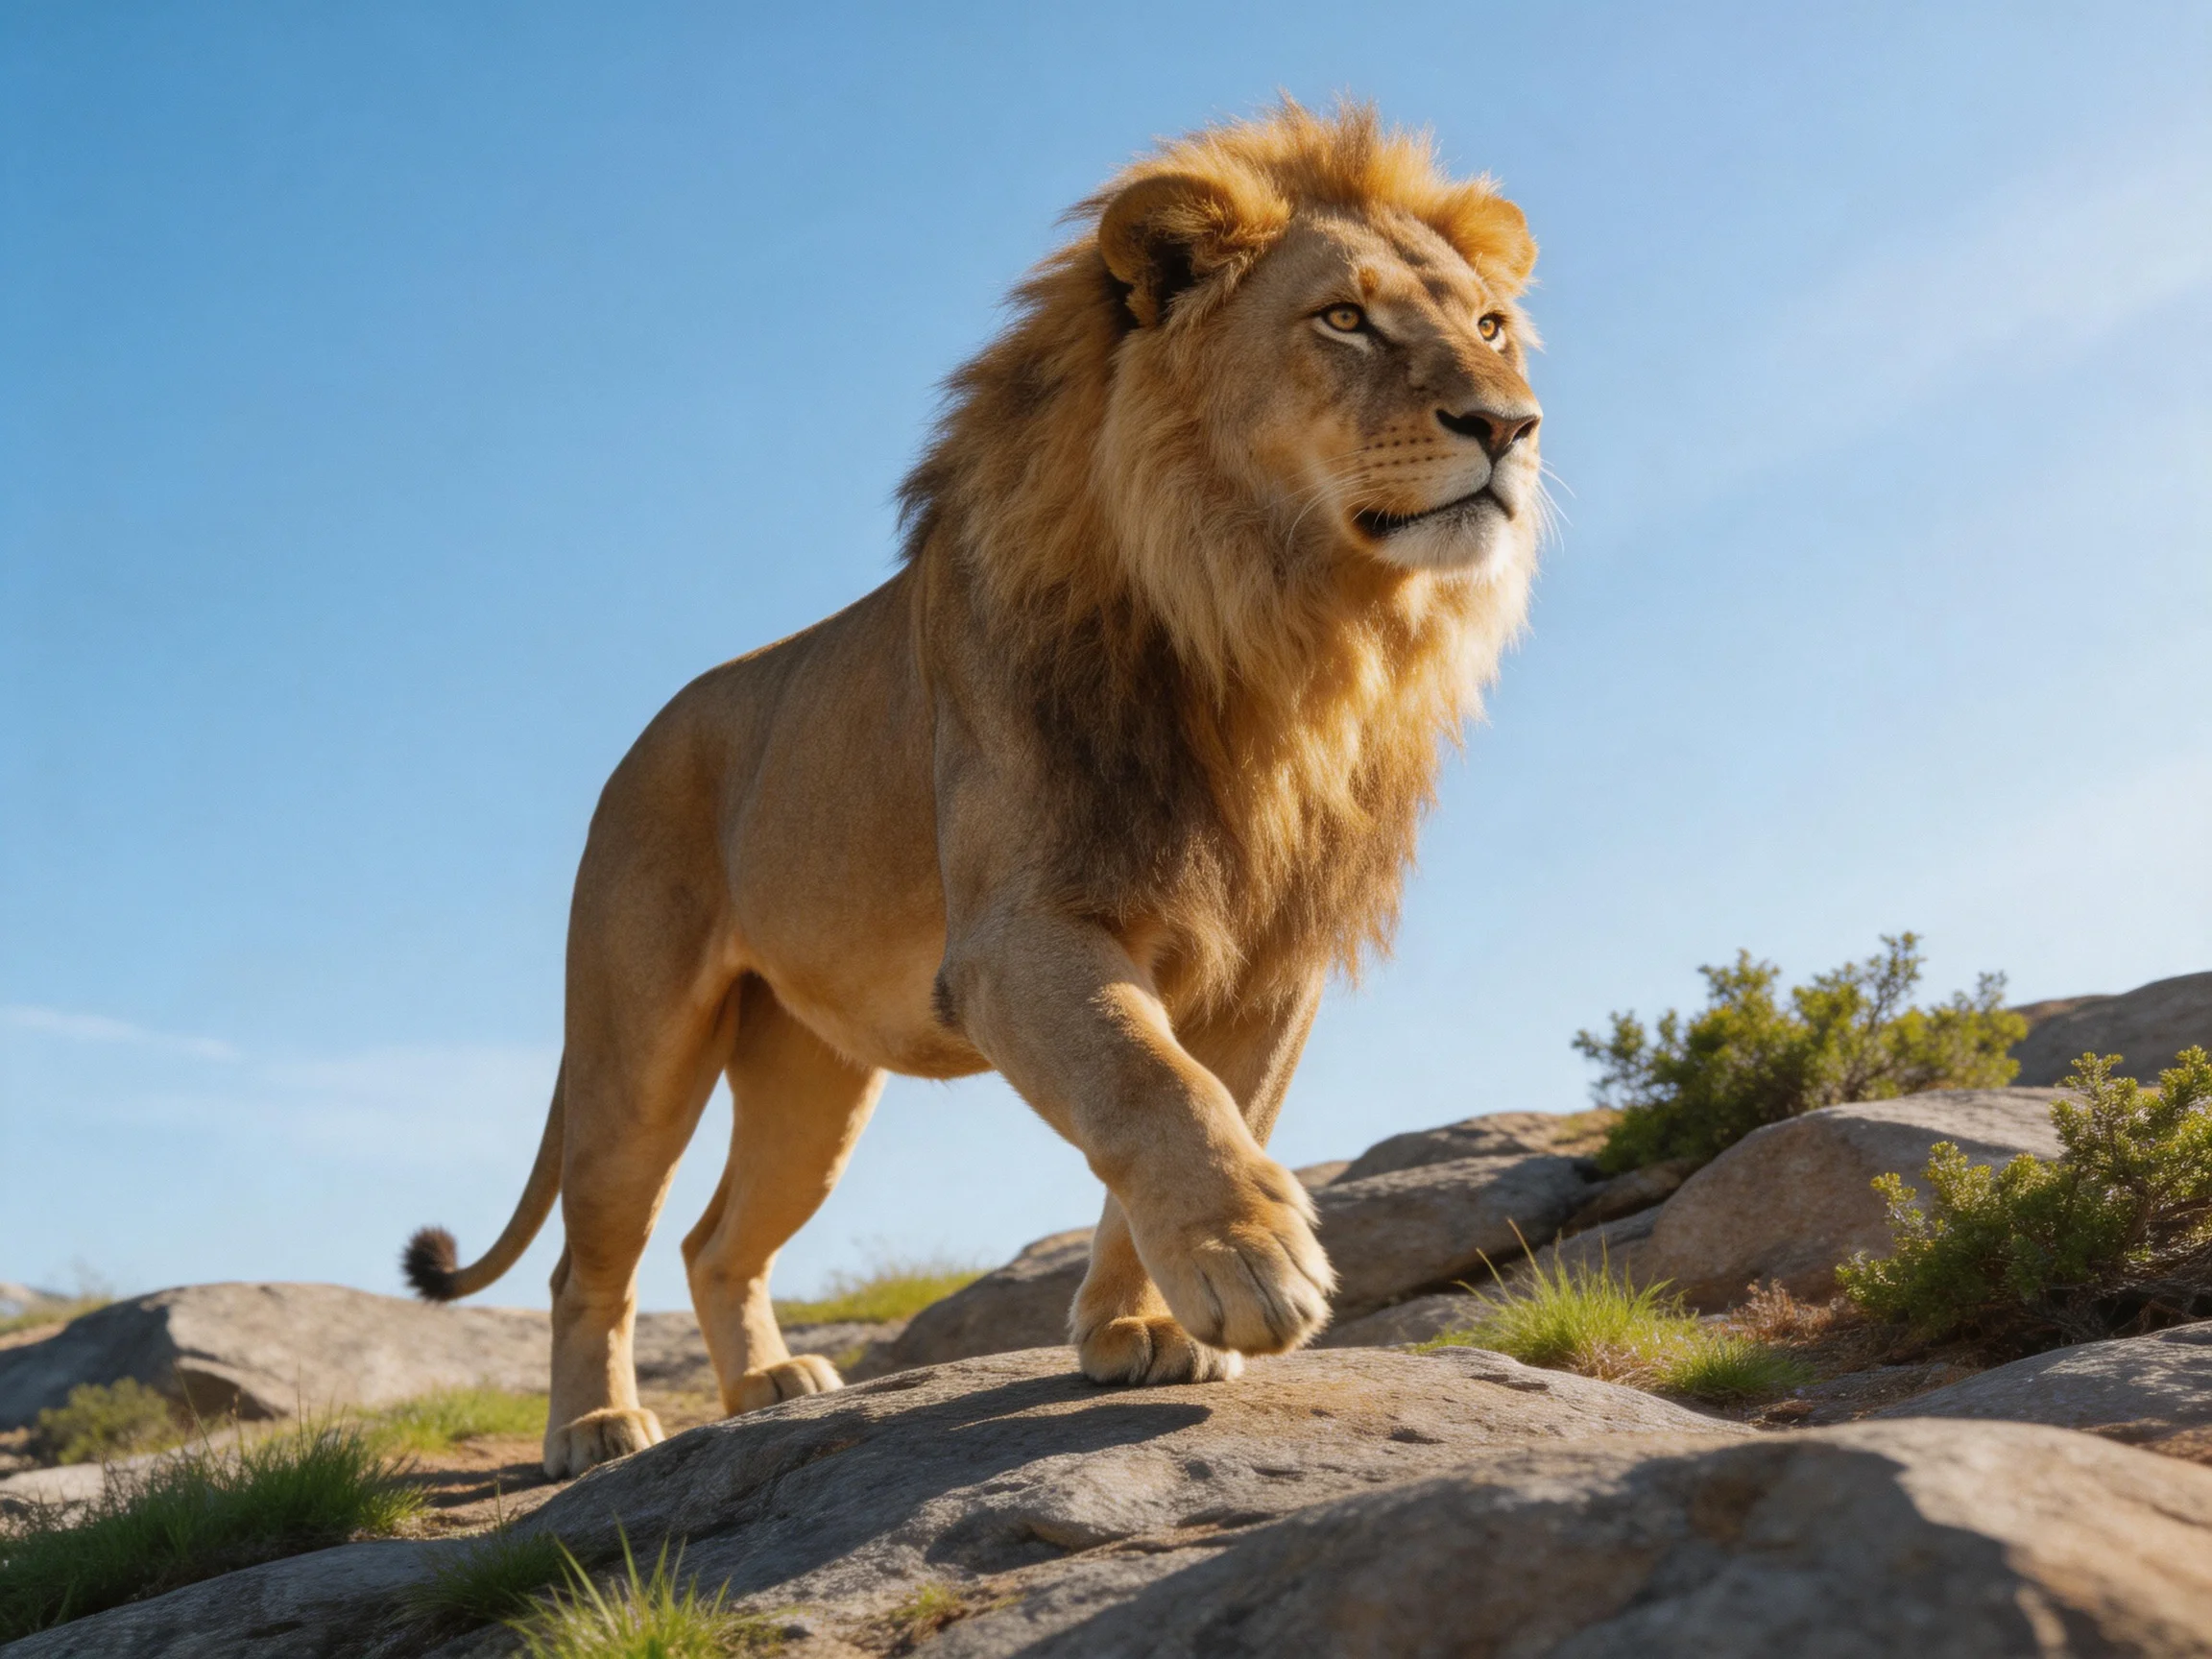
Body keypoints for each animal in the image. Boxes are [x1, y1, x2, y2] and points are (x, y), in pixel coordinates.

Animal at [403, 100, 1545, 1478]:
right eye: (1343, 319)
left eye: (1490, 326)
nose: (1511, 427)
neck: (1279, 632)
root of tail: (642, 739)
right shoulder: (1016, 937)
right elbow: (1148, 1079)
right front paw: (1251, 1258)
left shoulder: (1272, 960)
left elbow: (1212, 1103)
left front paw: (1141, 1324)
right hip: (636, 1045)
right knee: (594, 1256)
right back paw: (595, 1426)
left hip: (811, 1078)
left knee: (717, 1238)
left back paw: (769, 1386)